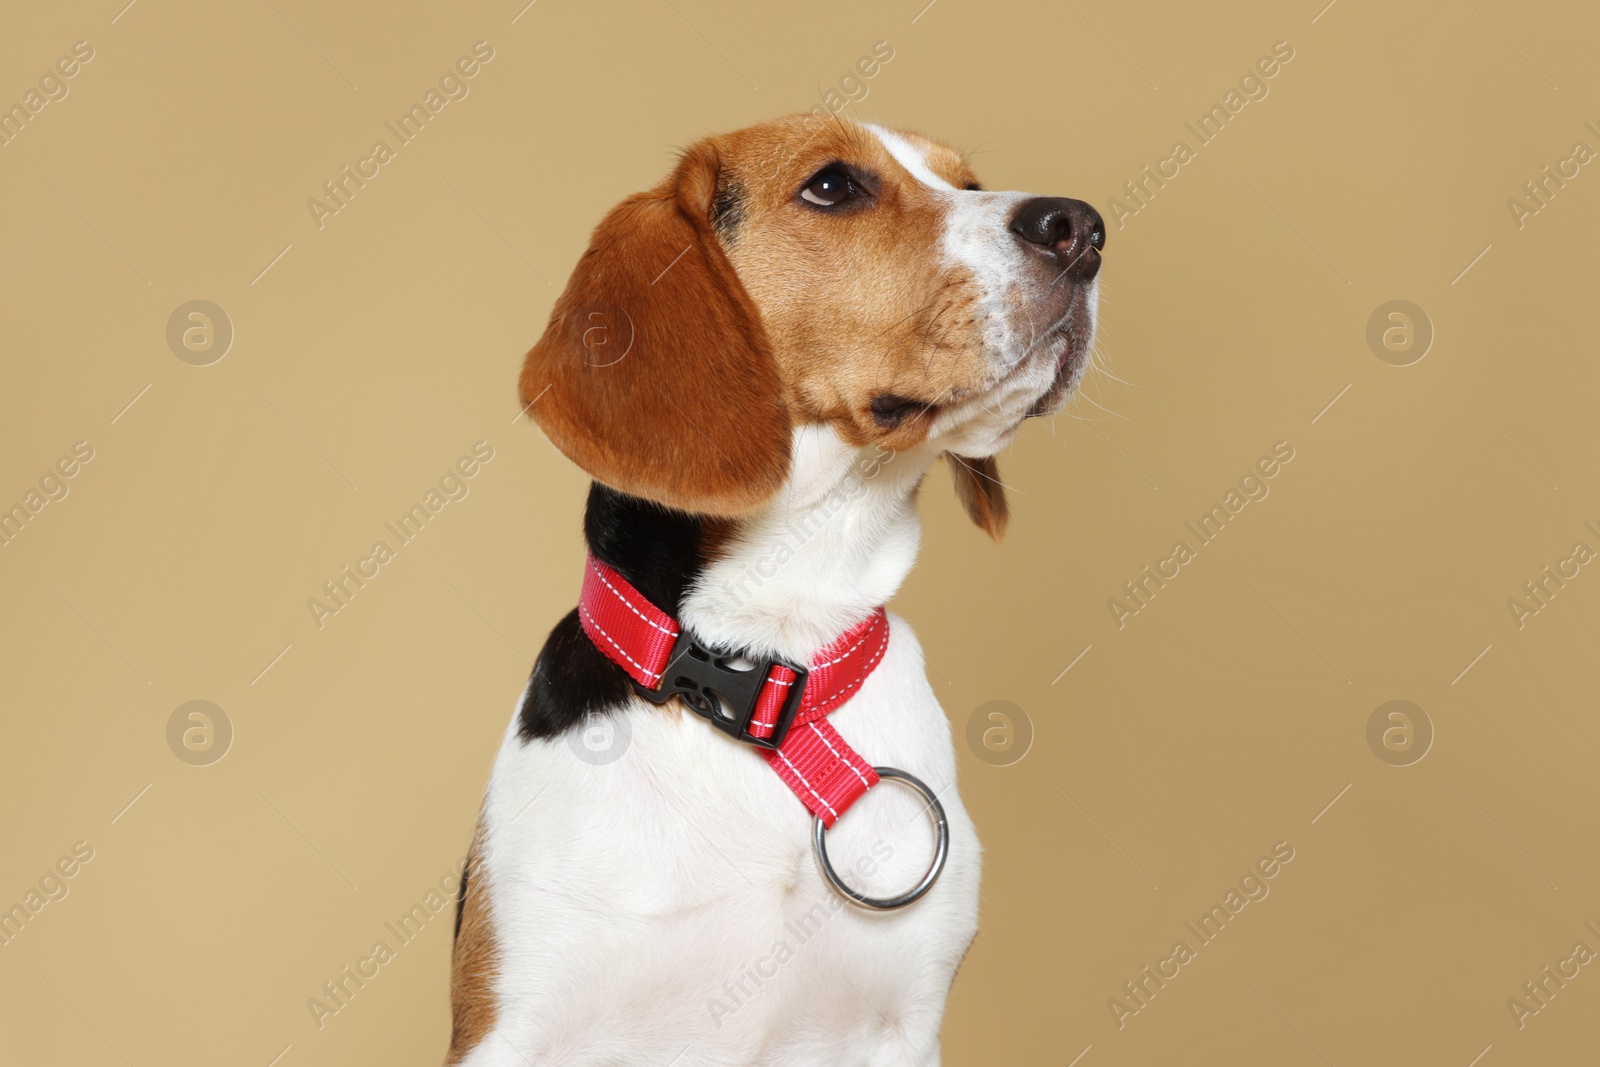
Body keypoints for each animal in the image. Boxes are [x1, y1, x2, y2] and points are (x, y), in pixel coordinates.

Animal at [448, 112, 1100, 1062]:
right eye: (833, 185)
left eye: (969, 183)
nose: (1083, 228)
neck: (763, 653)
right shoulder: (515, 1023)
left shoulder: (898, 1025)